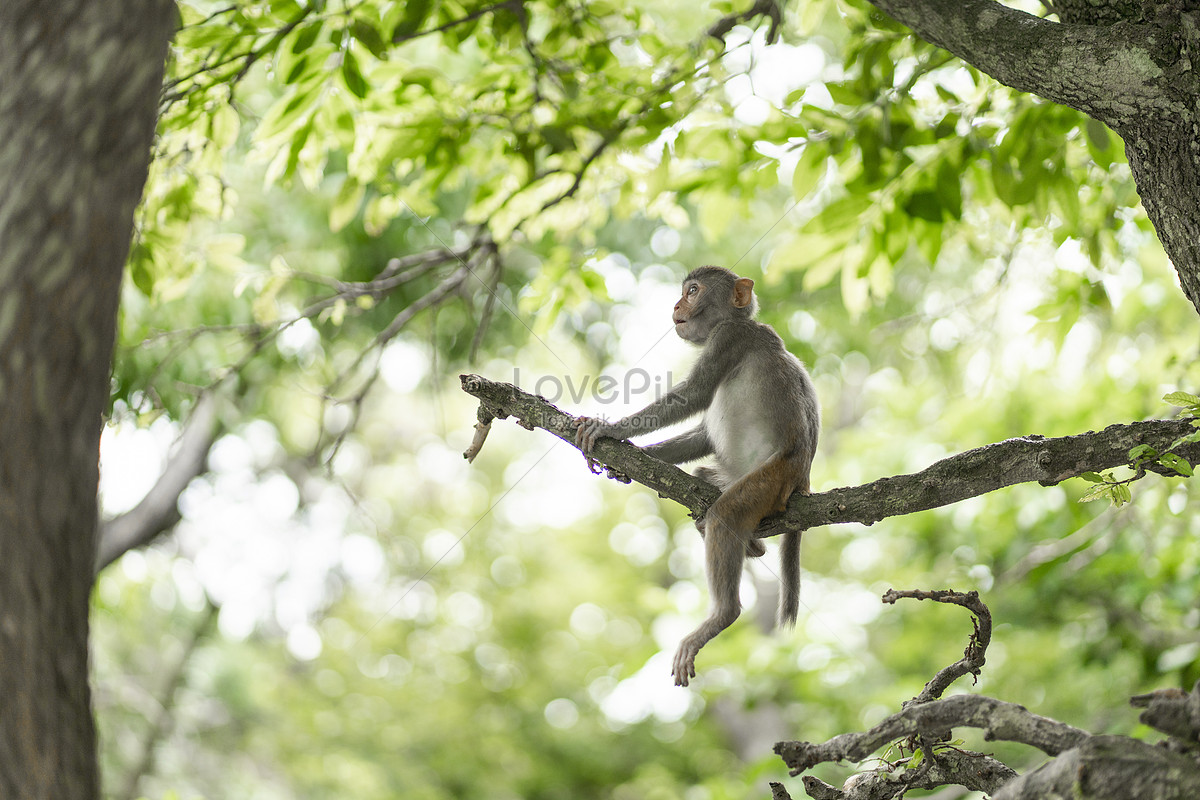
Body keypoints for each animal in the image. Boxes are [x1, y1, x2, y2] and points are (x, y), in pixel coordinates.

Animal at [576, 266, 820, 686]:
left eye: (693, 291)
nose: (676, 305)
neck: (735, 320)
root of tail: (801, 479)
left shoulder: (728, 339)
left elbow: (694, 395)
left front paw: (611, 428)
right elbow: (704, 434)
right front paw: (636, 458)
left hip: (772, 479)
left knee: (726, 514)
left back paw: (722, 614)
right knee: (708, 480)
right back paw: (752, 545)